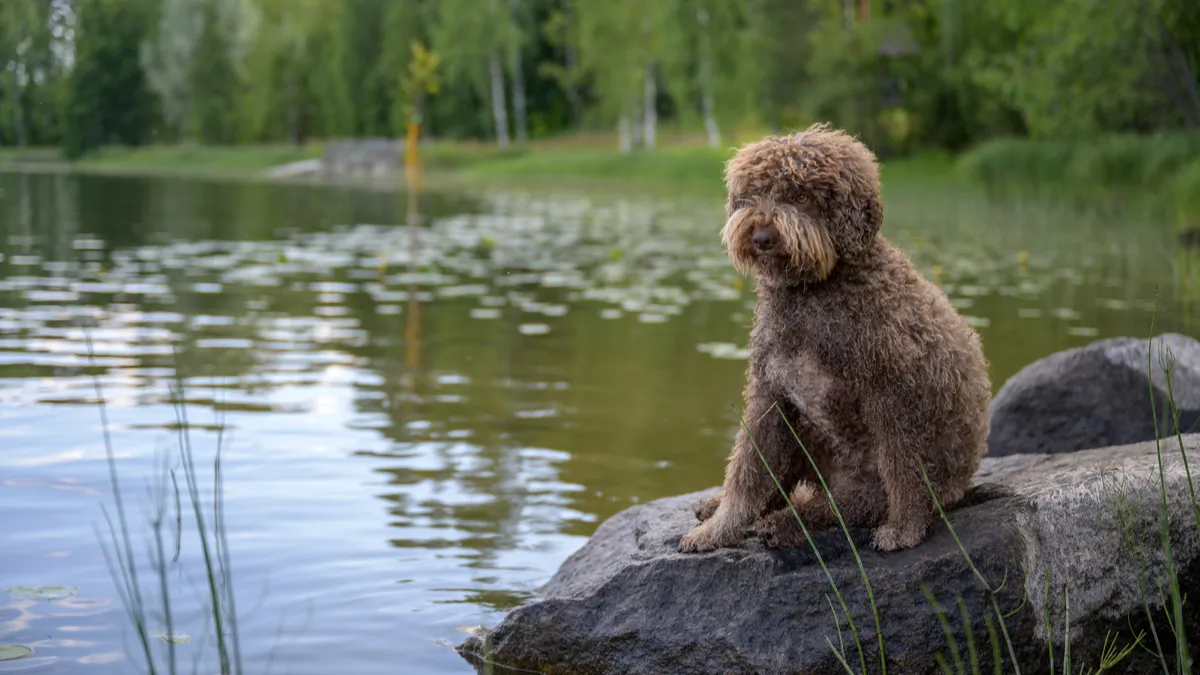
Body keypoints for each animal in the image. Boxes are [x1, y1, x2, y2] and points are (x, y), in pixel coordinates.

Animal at [681, 121, 988, 552]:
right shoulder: (771, 396)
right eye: (753, 194)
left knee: (844, 506)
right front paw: (717, 529)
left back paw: (785, 524)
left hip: (864, 483)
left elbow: (904, 468)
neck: (813, 295)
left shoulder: (893, 395)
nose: (761, 236)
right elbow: (746, 472)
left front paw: (905, 530)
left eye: (801, 195)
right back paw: (724, 506)